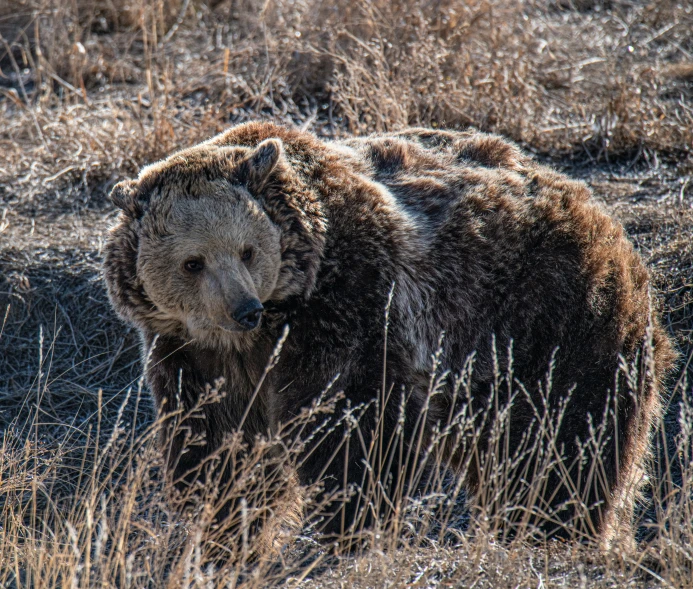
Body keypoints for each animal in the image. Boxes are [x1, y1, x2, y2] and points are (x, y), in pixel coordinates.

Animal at [104, 121, 676, 548]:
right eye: (192, 262)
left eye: (247, 250)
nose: (243, 308)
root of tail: (608, 221)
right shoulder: (191, 352)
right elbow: (217, 444)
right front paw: (224, 526)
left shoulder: (349, 304)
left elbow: (354, 429)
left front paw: (346, 523)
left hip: (548, 318)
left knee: (563, 443)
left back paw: (551, 529)